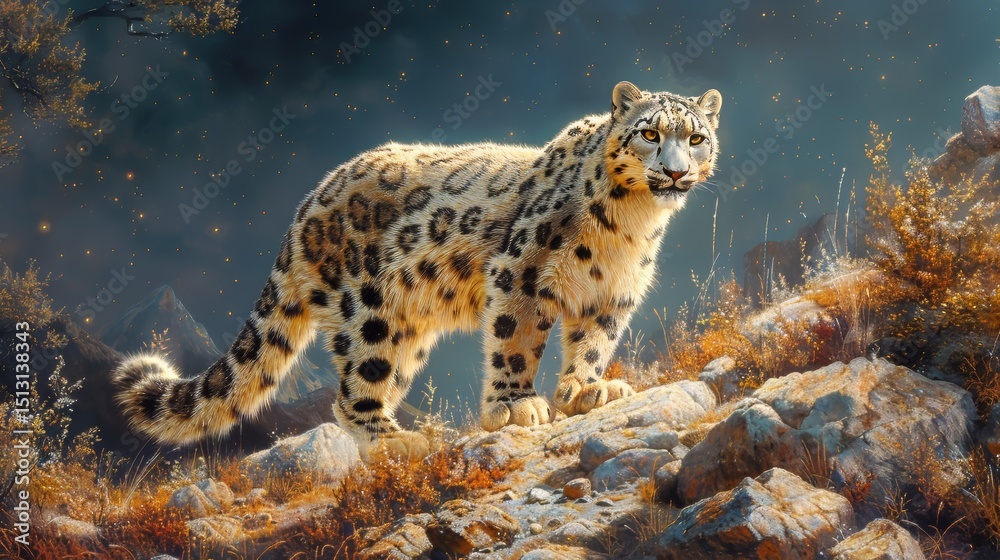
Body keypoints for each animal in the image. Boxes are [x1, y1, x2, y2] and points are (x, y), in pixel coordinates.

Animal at [113, 81, 723, 457]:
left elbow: (593, 345)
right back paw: (396, 440)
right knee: (353, 390)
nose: (675, 172)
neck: (630, 226)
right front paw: (514, 407)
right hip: (370, 314)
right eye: (649, 133)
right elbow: (517, 342)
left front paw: (587, 391)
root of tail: (307, 205)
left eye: (696, 137)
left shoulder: (612, 295)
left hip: (408, 330)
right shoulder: (522, 274)